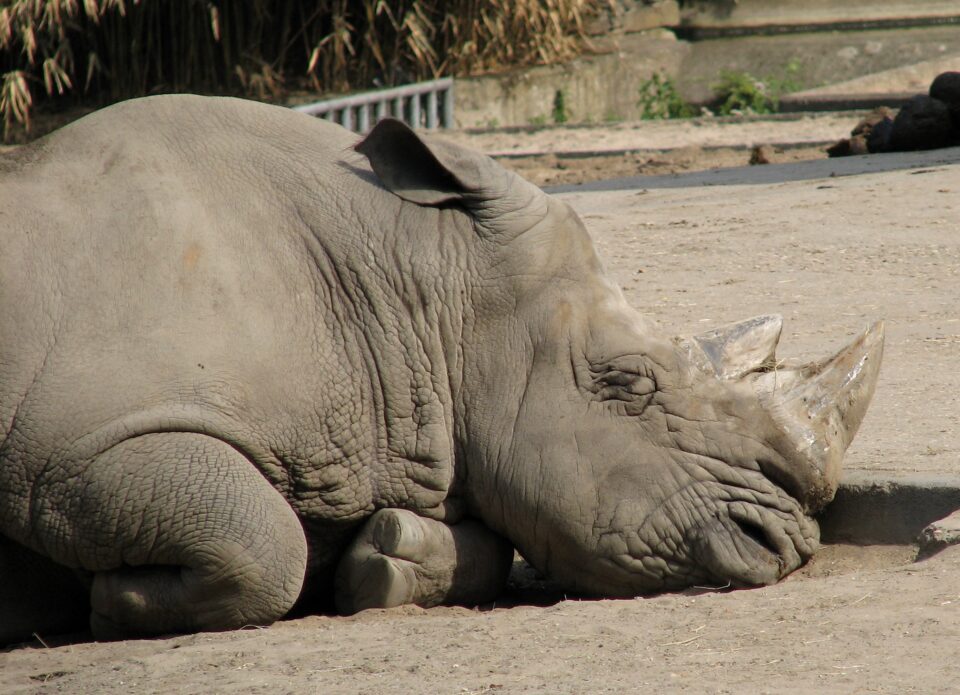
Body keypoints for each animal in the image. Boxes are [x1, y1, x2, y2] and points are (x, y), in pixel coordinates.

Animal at [0, 95, 882, 644]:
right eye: (628, 382)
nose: (787, 542)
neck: (421, 287)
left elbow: (486, 539)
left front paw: (383, 560)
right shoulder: (62, 453)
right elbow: (261, 532)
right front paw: (111, 602)